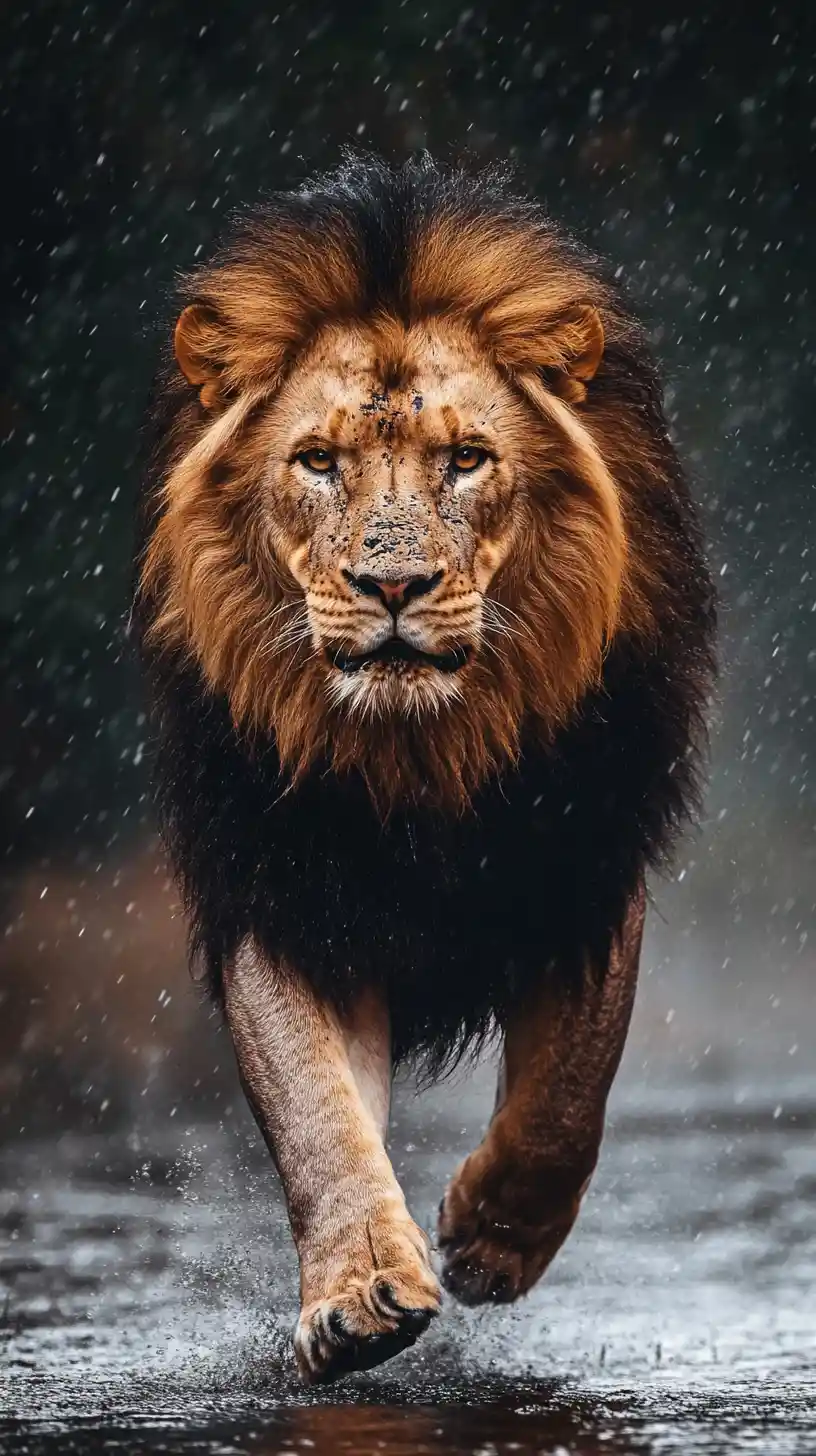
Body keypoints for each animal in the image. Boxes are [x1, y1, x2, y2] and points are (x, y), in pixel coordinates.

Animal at [134, 154, 715, 1383]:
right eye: (317, 462)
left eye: (465, 460)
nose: (391, 586)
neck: (417, 761)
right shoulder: (280, 887)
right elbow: (315, 1111)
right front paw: (357, 1294)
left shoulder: (583, 860)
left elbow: (571, 1088)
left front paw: (494, 1237)